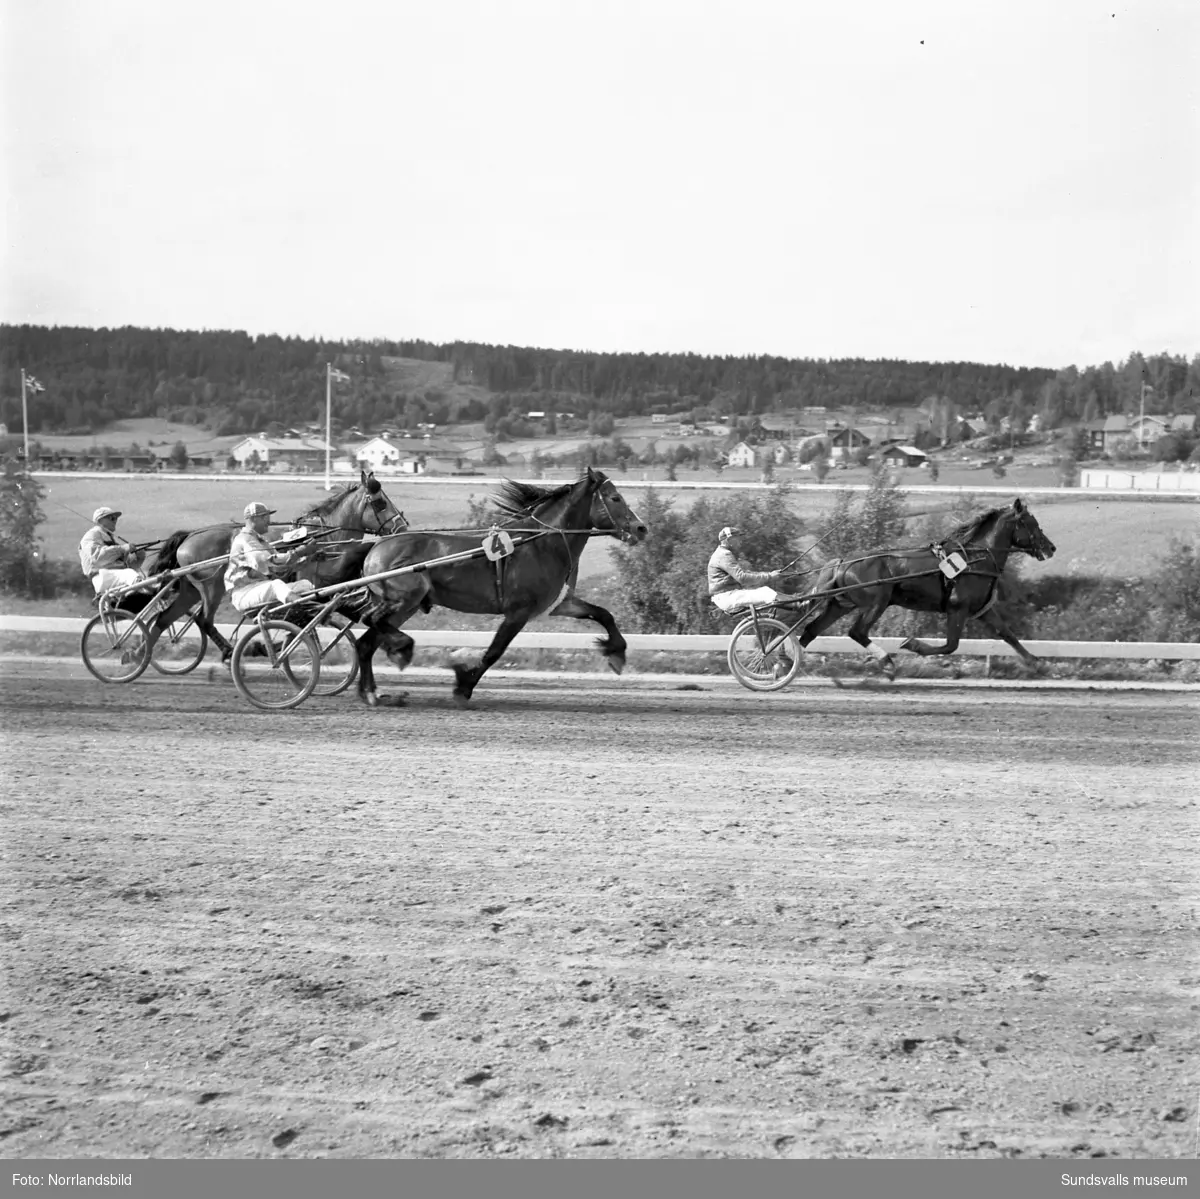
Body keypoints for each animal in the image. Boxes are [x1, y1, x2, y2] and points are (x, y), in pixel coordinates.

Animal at [144, 470, 408, 667]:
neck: (327, 536)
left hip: (190, 590)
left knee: (164, 620)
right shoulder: (316, 581)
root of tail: (190, 536)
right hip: (211, 587)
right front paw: (267, 645)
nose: (402, 528)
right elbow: (303, 620)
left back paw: (141, 655)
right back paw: (229, 652)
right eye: (381, 503)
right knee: (204, 620)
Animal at [350, 465, 648, 710]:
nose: (641, 528)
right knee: (372, 621)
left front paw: (616, 652)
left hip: (406, 606)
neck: (542, 544)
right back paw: (401, 650)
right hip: (403, 598)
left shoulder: (560, 604)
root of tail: (376, 547)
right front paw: (463, 687)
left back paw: (372, 691)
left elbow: (603, 614)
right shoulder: (518, 612)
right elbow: (494, 652)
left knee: (367, 642)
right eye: (615, 498)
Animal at [796, 496, 1060, 681]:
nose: (1051, 548)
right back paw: (887, 663)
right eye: (1032, 523)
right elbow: (951, 646)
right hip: (877, 601)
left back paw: (788, 664)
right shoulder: (957, 608)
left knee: (810, 631)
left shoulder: (982, 610)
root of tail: (842, 562)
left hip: (839, 604)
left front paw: (1037, 663)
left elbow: (1007, 634)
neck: (975, 559)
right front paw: (913, 644)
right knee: (857, 631)